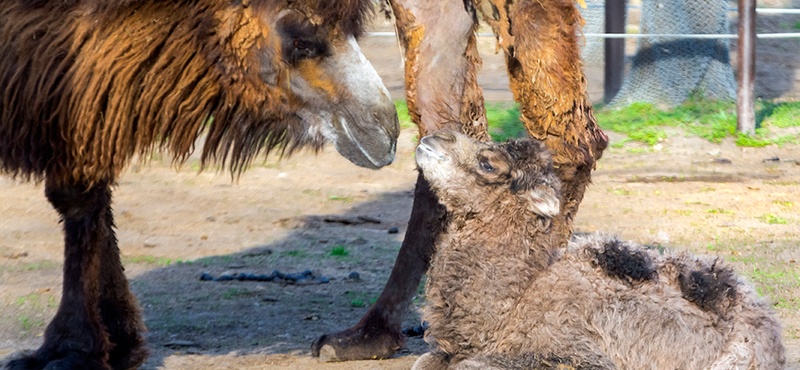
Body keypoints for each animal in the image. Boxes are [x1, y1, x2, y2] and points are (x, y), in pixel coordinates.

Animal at [0, 1, 400, 368]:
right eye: (300, 39)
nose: (387, 129)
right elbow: (79, 194)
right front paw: (84, 346)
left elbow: (82, 192)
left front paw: (92, 345)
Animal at [410, 129, 784, 370]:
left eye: (488, 164)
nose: (433, 138)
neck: (515, 300)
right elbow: (424, 361)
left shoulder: (569, 351)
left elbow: (469, 365)